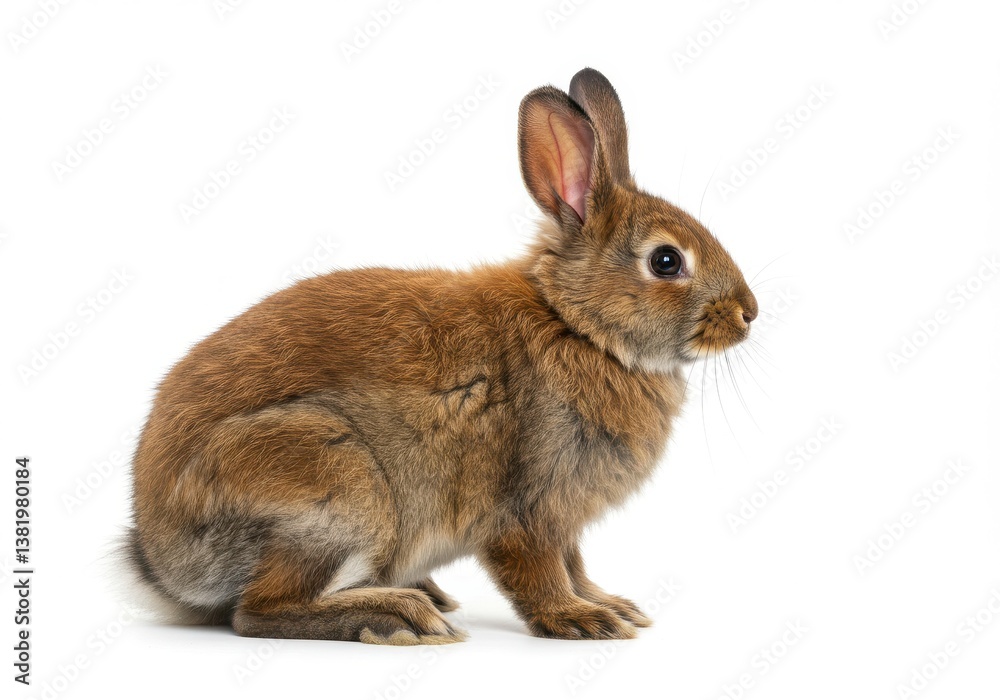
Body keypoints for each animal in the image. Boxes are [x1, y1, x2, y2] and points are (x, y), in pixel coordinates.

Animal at [125, 67, 758, 645]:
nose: (749, 313)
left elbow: (575, 564)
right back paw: (400, 615)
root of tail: (161, 562)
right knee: (258, 612)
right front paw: (582, 619)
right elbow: (539, 570)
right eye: (666, 262)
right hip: (334, 488)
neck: (576, 324)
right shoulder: (528, 505)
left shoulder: (565, 519)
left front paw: (613, 605)